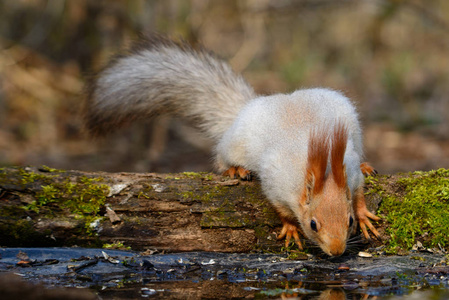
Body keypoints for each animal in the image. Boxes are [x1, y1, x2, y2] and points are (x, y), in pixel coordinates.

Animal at [83, 34, 378, 255]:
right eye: (313, 224)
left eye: (349, 220)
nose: (337, 251)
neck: (324, 166)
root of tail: (247, 109)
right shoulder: (277, 184)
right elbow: (280, 208)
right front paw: (291, 228)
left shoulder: (349, 169)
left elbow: (358, 193)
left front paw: (364, 214)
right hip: (234, 144)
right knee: (222, 159)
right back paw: (235, 169)